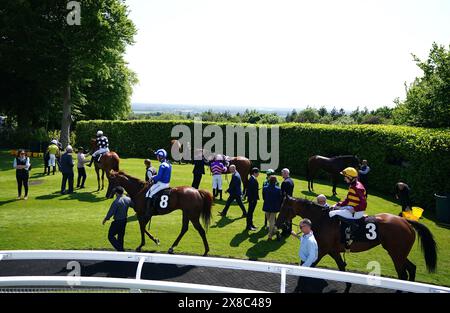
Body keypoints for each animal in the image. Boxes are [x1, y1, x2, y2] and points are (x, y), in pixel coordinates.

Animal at [274, 196, 436, 292]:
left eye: (284, 208)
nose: (277, 223)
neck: (323, 219)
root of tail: (406, 221)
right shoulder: (333, 250)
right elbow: (341, 266)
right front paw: (348, 285)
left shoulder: (322, 250)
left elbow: (309, 266)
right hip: (399, 253)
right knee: (411, 268)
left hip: (396, 253)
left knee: (402, 274)